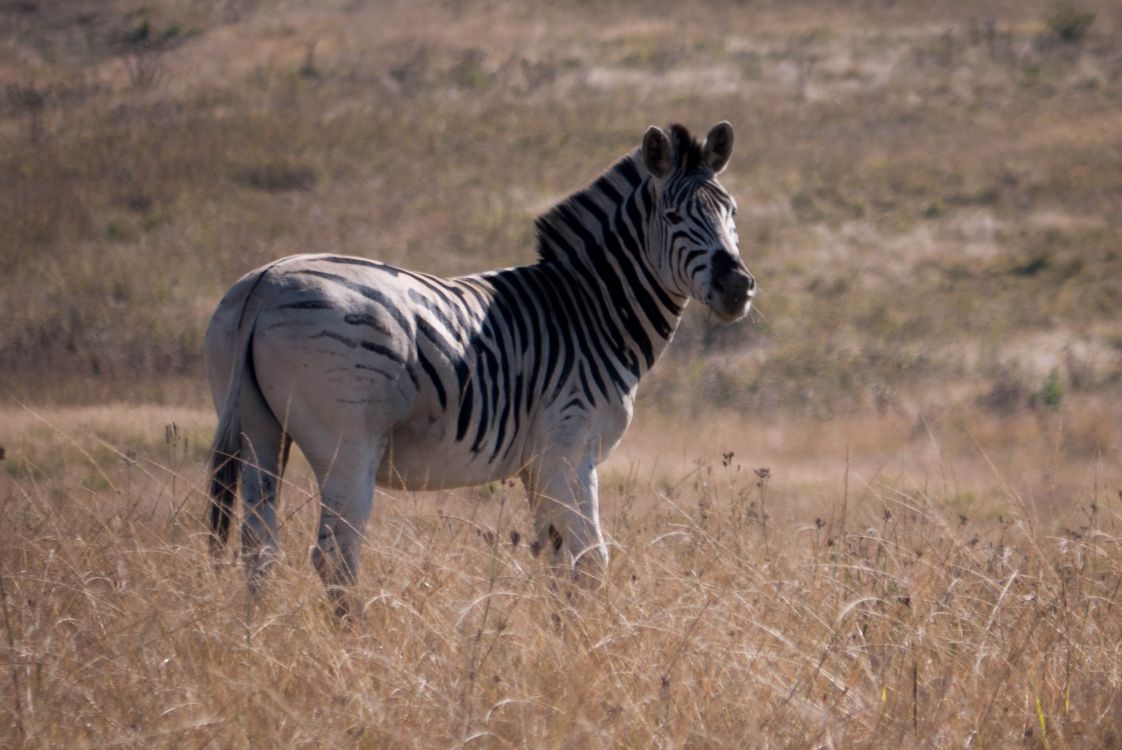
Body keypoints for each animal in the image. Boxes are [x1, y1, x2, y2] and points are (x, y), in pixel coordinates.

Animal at [205, 122, 756, 613]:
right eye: (672, 215)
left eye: (732, 211)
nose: (737, 287)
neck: (589, 309)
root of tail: (266, 282)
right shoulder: (570, 447)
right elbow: (590, 560)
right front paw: (585, 644)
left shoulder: (538, 463)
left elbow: (557, 560)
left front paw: (557, 639)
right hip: (348, 444)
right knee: (335, 556)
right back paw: (353, 642)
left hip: (258, 430)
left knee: (259, 547)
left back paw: (254, 637)